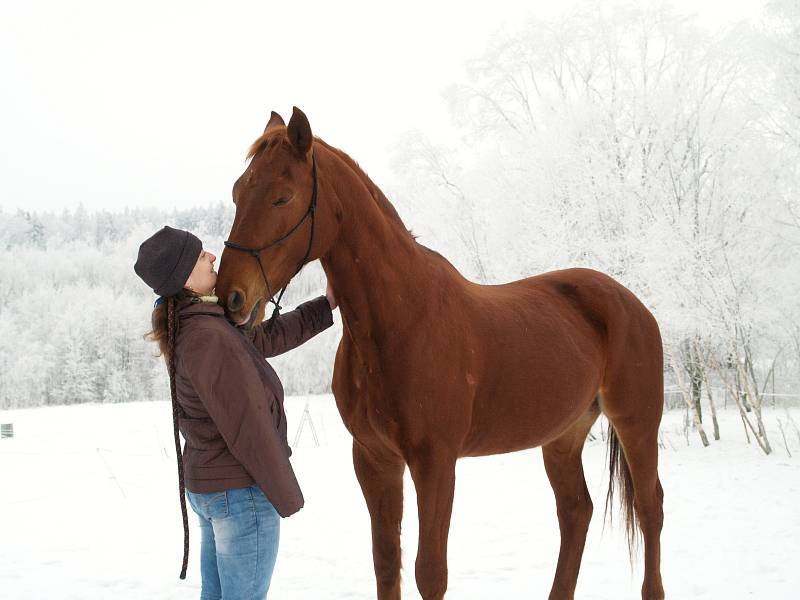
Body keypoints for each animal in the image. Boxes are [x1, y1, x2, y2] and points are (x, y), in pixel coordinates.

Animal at [216, 108, 664, 600]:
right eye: (237, 192)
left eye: (282, 197)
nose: (230, 297)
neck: (402, 319)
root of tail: (629, 301)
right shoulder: (374, 460)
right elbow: (386, 562)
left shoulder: (435, 462)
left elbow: (430, 572)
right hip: (563, 437)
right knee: (575, 512)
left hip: (636, 423)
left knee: (650, 509)